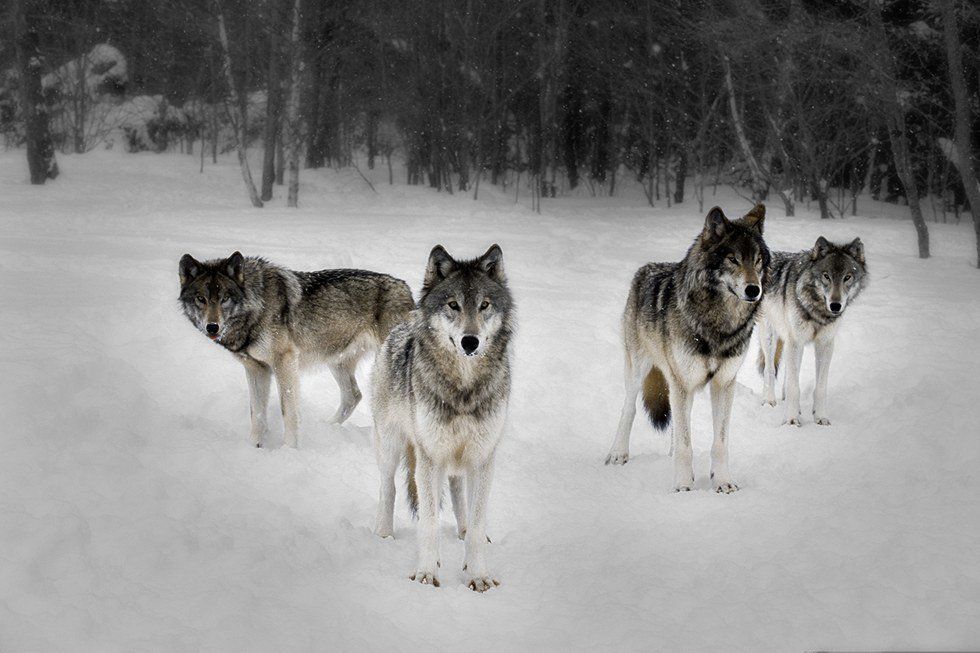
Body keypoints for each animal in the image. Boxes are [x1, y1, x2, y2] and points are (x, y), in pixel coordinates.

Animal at [178, 251, 414, 448]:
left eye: (225, 298)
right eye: (201, 299)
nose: (212, 327)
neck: (256, 307)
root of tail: (405, 287)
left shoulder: (284, 362)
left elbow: (288, 412)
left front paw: (288, 450)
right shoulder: (256, 368)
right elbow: (257, 413)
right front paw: (254, 447)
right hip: (337, 362)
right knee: (353, 395)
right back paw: (328, 427)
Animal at [372, 244, 513, 592]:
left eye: (484, 305)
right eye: (453, 305)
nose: (470, 341)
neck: (463, 388)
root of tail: (402, 323)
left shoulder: (482, 457)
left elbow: (476, 522)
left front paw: (477, 574)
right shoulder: (429, 456)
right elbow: (429, 521)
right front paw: (426, 573)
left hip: (457, 460)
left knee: (458, 492)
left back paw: (461, 531)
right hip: (393, 446)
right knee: (389, 487)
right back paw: (384, 534)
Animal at [605, 205, 769, 493]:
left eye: (758, 260)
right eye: (733, 259)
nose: (754, 290)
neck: (718, 324)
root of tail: (645, 269)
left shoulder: (724, 383)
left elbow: (719, 442)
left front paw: (722, 482)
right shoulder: (682, 381)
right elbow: (685, 444)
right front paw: (682, 486)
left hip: (679, 384)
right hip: (641, 371)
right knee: (629, 409)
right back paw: (618, 454)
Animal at [757, 236, 867, 426]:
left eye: (847, 277)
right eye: (826, 276)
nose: (835, 305)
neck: (818, 311)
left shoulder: (825, 344)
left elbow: (820, 387)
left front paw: (820, 417)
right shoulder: (796, 341)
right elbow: (794, 386)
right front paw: (791, 420)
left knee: (788, 373)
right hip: (770, 337)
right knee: (770, 369)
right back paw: (769, 401)